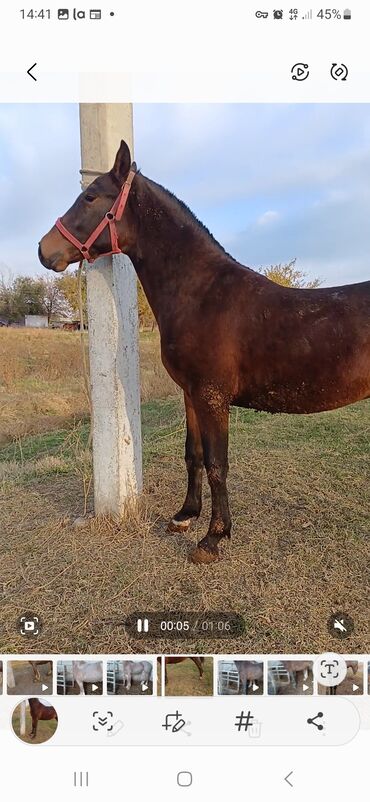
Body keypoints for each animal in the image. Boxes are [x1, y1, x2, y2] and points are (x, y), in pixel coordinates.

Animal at [39, 138, 370, 564]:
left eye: (91, 196)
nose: (44, 249)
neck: (201, 293)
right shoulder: (191, 393)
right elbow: (193, 454)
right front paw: (185, 515)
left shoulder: (213, 396)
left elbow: (217, 463)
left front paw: (213, 538)